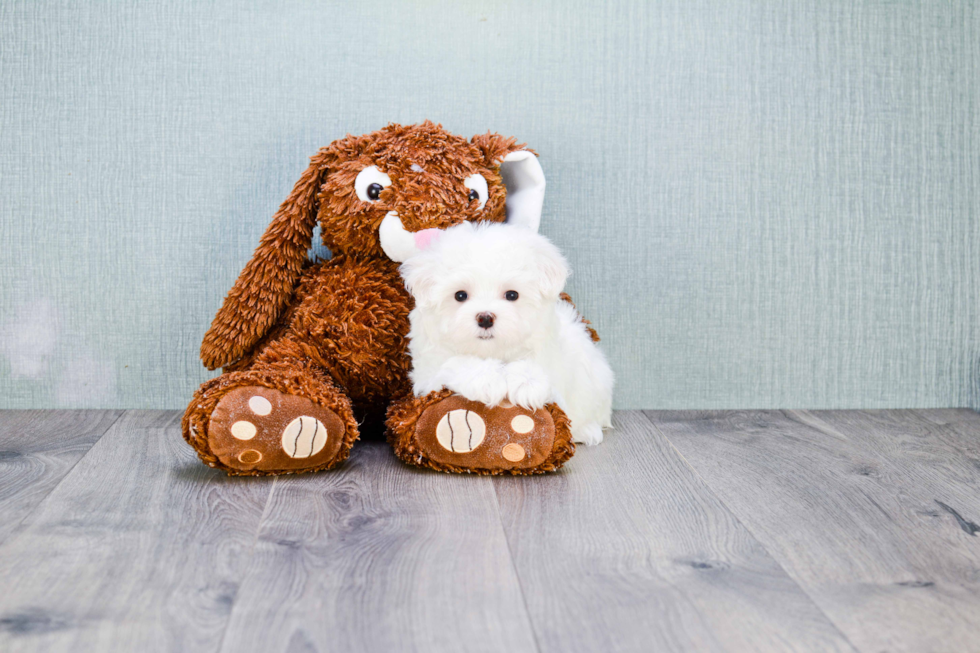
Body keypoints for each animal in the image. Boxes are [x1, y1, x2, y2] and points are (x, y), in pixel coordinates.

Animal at [398, 222, 612, 446]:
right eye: (460, 295)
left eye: (512, 295)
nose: (485, 318)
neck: (493, 351)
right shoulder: (428, 373)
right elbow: (457, 362)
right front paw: (487, 379)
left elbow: (537, 366)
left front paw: (527, 382)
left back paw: (587, 430)